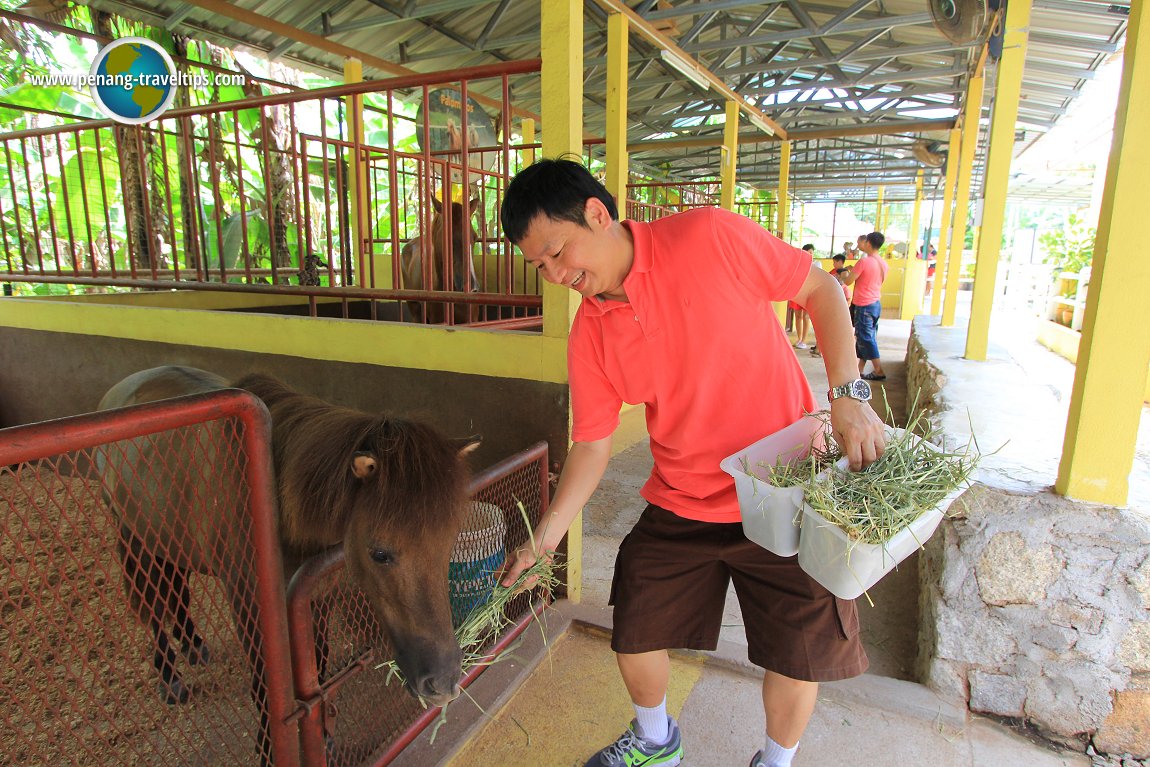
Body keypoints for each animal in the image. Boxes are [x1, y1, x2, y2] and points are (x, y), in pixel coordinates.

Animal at [96, 365, 478, 735]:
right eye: (380, 554)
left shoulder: (314, 593)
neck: (274, 500)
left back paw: (193, 645)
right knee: (154, 608)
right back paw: (169, 679)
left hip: (169, 542)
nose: (443, 681)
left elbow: (317, 667)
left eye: (447, 544)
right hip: (135, 541)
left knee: (177, 594)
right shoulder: (251, 609)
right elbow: (265, 691)